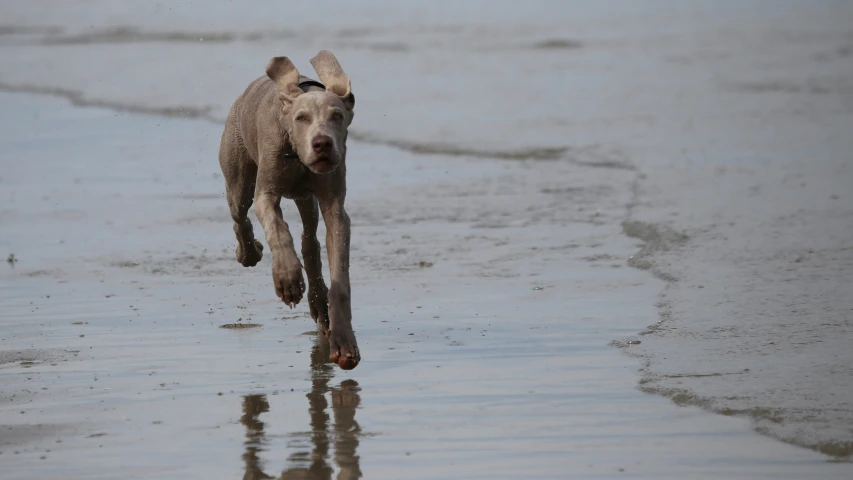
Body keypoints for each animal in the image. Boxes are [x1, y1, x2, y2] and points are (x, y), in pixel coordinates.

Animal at [220, 50, 360, 370]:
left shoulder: (335, 208)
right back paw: (249, 253)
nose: (322, 144)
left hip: (307, 198)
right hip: (238, 174)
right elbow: (278, 229)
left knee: (310, 241)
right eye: (301, 118)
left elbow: (340, 279)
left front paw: (345, 345)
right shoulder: (266, 192)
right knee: (240, 216)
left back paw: (319, 304)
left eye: (337, 116)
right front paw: (287, 281)